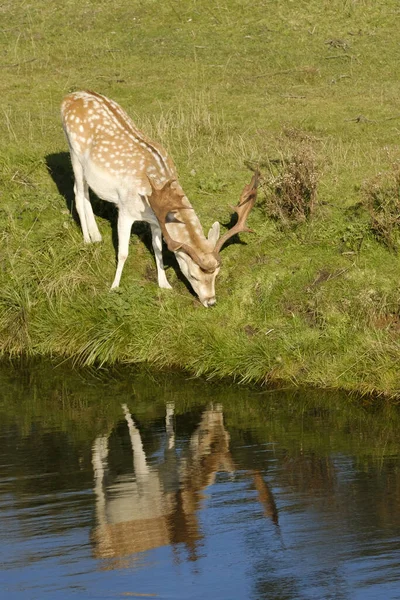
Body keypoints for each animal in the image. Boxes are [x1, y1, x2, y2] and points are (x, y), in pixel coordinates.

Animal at [60, 91, 258, 308]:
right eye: (193, 275)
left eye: (216, 274)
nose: (211, 301)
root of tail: (69, 97)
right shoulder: (125, 210)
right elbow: (123, 252)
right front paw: (114, 286)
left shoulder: (155, 220)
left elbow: (158, 248)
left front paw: (164, 284)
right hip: (73, 152)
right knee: (78, 192)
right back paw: (87, 239)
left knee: (86, 192)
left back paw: (96, 235)